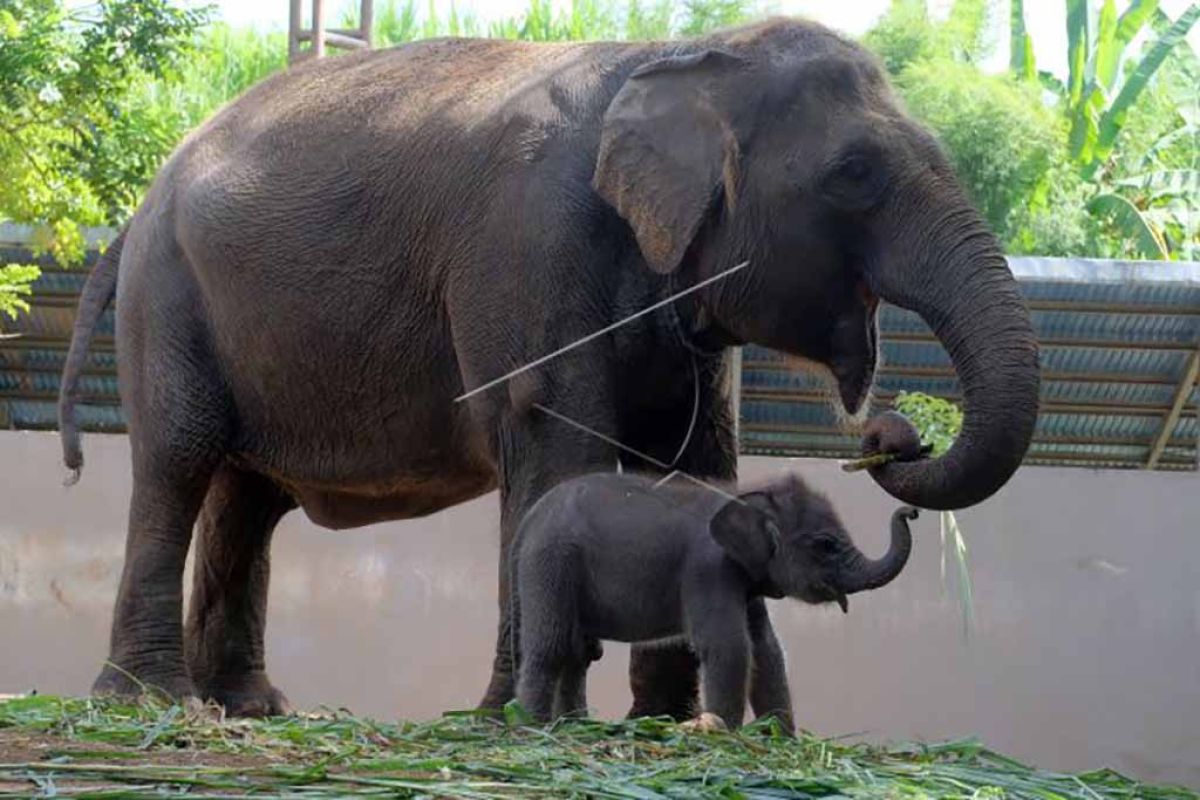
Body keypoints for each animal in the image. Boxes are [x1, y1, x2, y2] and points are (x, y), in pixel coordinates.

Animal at [508, 472, 916, 734]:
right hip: (550, 562)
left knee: (579, 653)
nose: (909, 511)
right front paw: (724, 736)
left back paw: (573, 726)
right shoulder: (709, 569)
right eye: (825, 545)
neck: (746, 494)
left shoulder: (746, 577)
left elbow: (766, 649)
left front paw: (781, 740)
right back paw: (533, 730)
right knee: (552, 646)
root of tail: (527, 520)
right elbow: (729, 646)